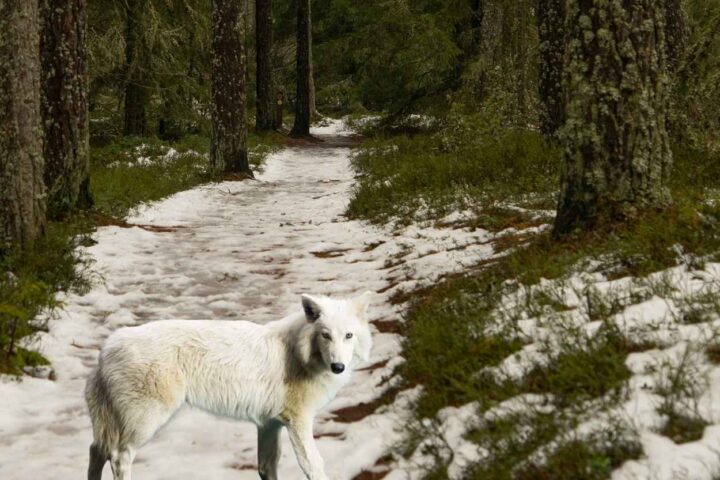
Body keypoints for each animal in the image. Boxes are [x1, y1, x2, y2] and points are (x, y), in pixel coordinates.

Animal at [85, 291, 374, 480]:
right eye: (326, 336)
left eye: (348, 336)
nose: (338, 367)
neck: (299, 355)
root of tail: (106, 348)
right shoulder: (297, 421)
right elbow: (314, 466)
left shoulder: (269, 425)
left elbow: (266, 468)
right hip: (145, 423)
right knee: (118, 456)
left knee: (96, 450)